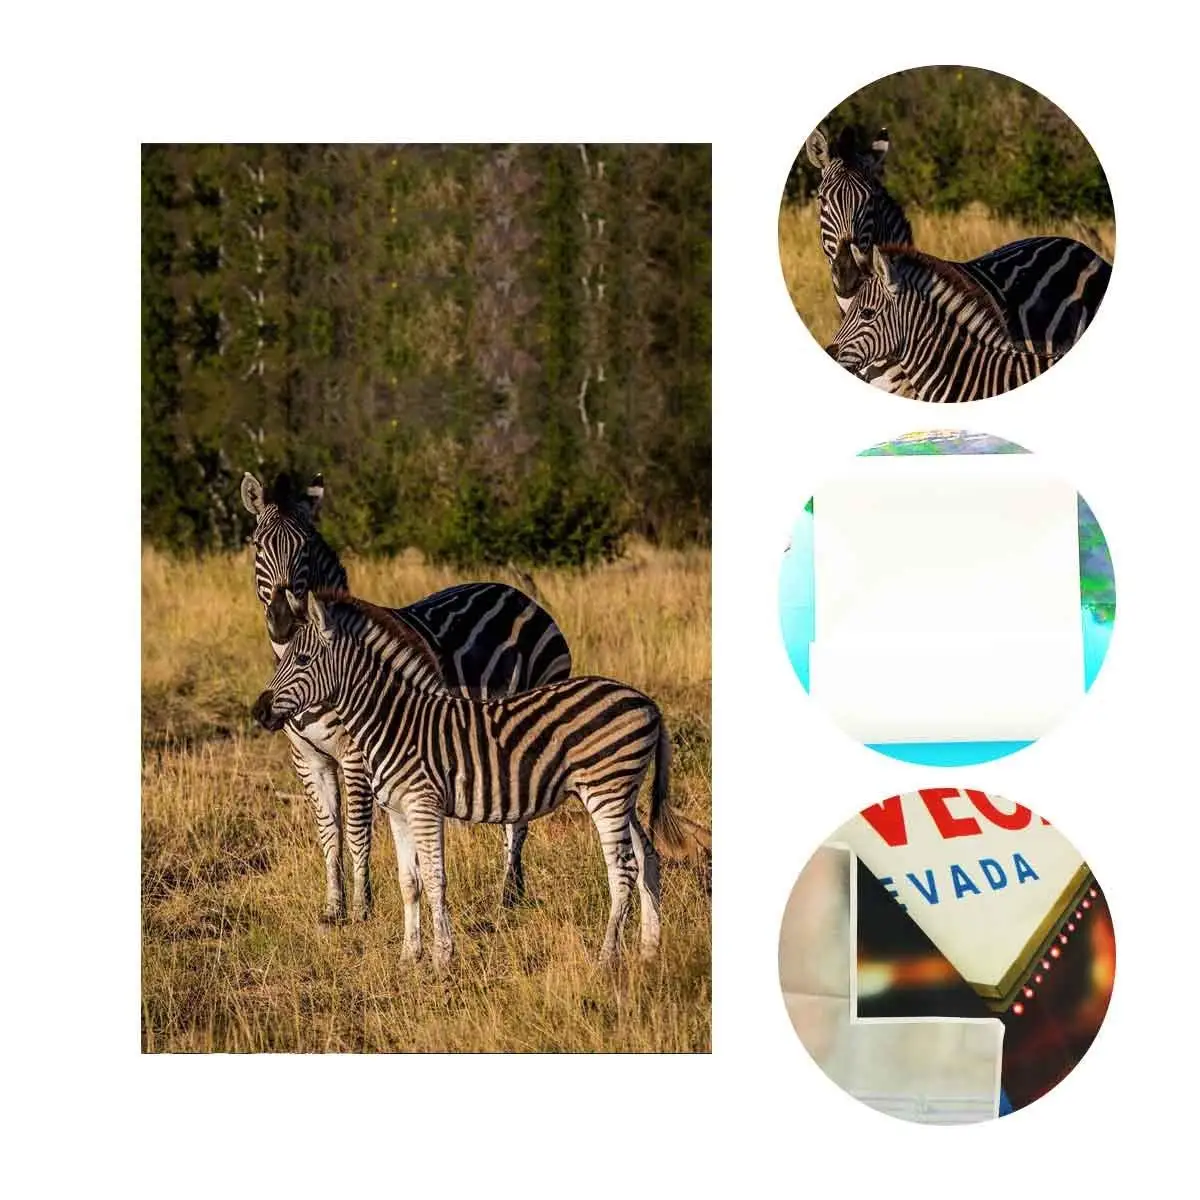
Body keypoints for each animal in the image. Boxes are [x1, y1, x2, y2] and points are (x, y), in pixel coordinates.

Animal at [240, 471, 572, 923]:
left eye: (305, 546)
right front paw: (333, 908)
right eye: (258, 544)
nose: (282, 619)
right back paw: (514, 893)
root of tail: (518, 594)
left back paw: (507, 895)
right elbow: (329, 832)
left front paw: (362, 908)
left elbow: (357, 829)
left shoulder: (356, 755)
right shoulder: (308, 758)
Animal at [251, 590, 690, 967]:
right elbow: (409, 882)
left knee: (622, 871)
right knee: (648, 859)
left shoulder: (424, 805)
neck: (394, 720)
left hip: (606, 791)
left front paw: (442, 957)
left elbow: (434, 879)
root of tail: (647, 702)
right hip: (622, 794)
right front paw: (409, 957)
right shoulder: (397, 810)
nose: (258, 711)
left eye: (302, 659)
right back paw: (649, 950)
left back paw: (607, 959)